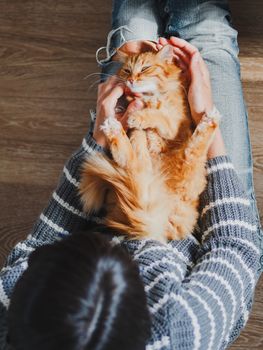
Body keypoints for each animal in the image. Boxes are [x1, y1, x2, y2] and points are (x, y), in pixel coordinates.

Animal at [79, 45, 221, 242]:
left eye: (145, 68)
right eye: (127, 70)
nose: (131, 80)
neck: (150, 96)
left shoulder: (175, 125)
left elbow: (159, 116)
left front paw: (138, 116)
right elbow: (147, 120)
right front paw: (134, 114)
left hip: (188, 160)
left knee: (195, 144)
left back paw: (210, 119)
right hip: (143, 168)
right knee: (129, 160)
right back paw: (113, 128)